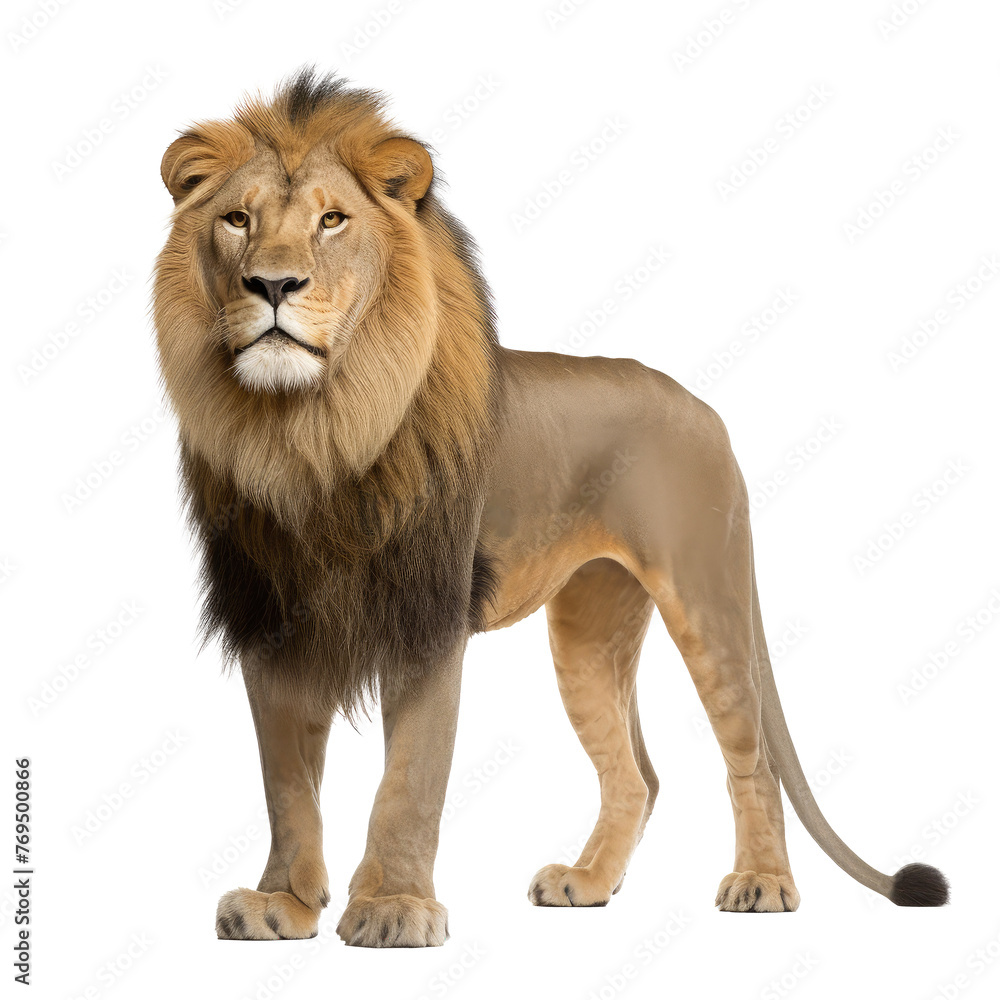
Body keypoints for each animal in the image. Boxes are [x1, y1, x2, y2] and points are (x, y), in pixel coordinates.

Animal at [153, 70, 948, 947]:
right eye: (238, 219)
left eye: (333, 220)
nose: (272, 285)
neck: (310, 433)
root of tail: (702, 406)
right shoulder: (271, 617)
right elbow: (287, 784)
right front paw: (282, 904)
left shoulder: (430, 614)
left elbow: (410, 779)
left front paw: (395, 906)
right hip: (589, 626)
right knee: (638, 774)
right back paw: (589, 882)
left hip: (706, 599)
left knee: (751, 758)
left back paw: (763, 883)